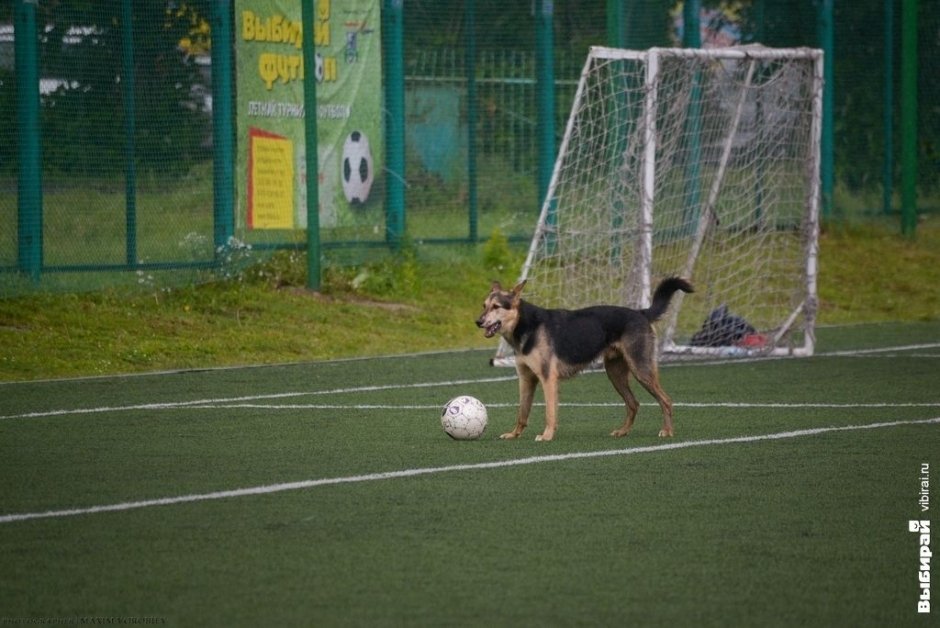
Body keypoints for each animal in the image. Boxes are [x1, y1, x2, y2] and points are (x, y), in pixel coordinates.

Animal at [478, 274, 692, 442]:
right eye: (484, 306)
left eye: (496, 307)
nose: (478, 321)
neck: (525, 325)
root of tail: (641, 313)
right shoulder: (526, 379)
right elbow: (522, 412)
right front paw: (514, 434)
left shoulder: (548, 379)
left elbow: (550, 413)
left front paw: (547, 435)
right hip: (615, 373)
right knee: (633, 404)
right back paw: (623, 431)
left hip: (641, 369)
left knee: (666, 400)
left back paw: (667, 431)